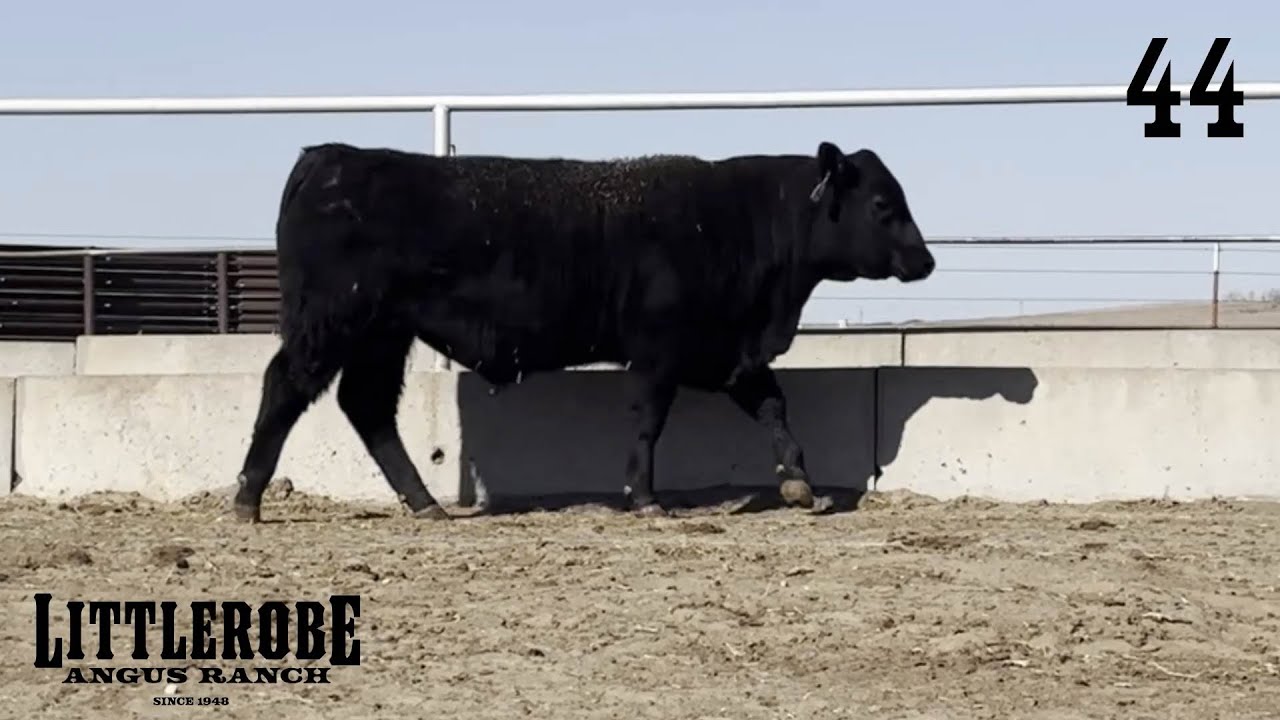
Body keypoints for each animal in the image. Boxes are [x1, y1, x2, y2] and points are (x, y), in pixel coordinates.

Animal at [231, 139, 935, 523]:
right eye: (882, 204)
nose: (924, 260)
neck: (737, 222)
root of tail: (331, 158)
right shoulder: (658, 353)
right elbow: (650, 422)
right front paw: (644, 496)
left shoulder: (725, 351)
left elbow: (773, 404)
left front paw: (798, 482)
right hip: (330, 321)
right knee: (285, 387)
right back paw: (248, 498)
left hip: (381, 333)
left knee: (367, 406)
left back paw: (424, 502)